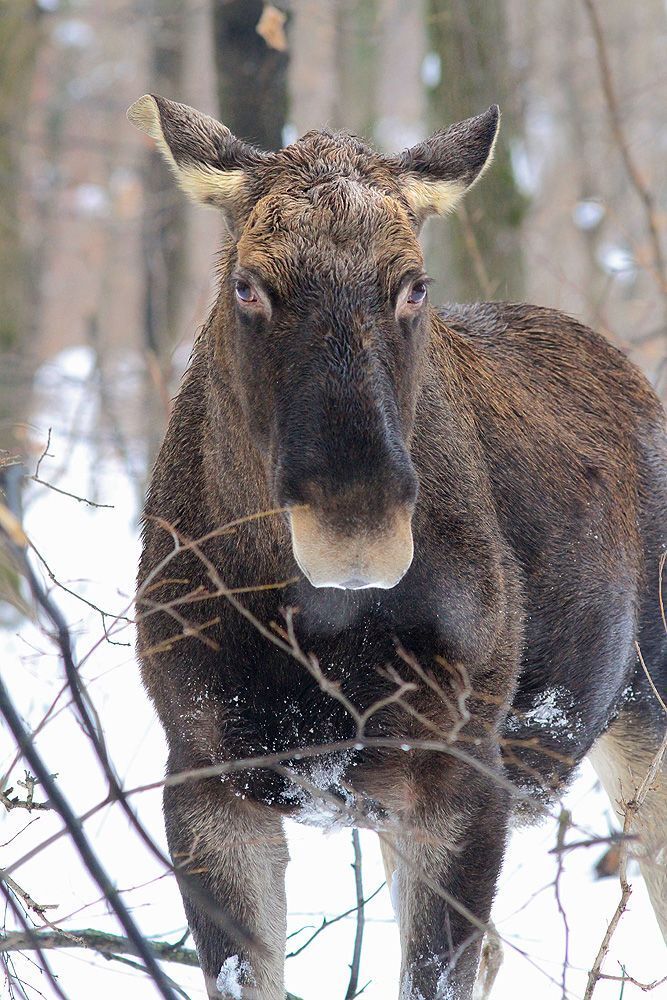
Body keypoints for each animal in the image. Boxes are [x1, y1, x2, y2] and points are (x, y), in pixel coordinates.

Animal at [128, 94, 667, 1000]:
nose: (357, 526)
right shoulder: (202, 777)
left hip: (640, 718)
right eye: (248, 284)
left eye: (414, 285)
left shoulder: (463, 777)